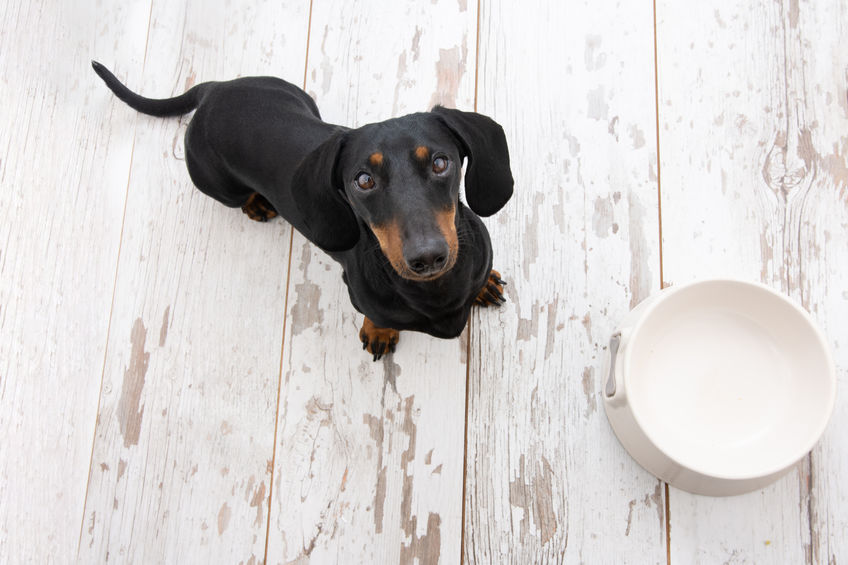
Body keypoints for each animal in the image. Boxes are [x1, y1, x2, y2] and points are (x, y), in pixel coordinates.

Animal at [95, 61, 512, 360]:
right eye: (363, 180)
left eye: (441, 162)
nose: (427, 257)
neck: (436, 291)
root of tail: (213, 90)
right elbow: (375, 317)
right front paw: (378, 332)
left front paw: (484, 285)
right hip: (216, 184)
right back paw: (256, 204)